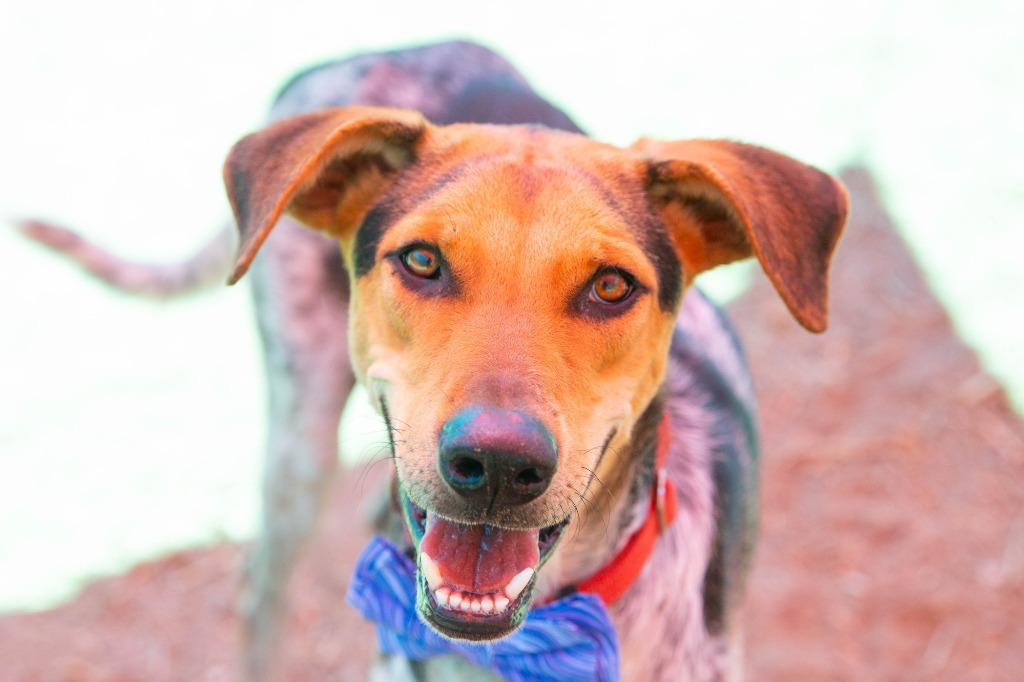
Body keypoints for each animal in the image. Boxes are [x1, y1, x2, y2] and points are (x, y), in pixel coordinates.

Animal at [22, 39, 847, 675]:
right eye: (421, 261)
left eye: (612, 286)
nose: (498, 465)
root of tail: (368, 52)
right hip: (299, 438)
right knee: (259, 587)